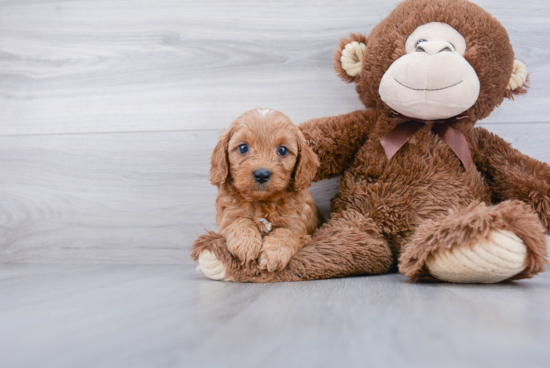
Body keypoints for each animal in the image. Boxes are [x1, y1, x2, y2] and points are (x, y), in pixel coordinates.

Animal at [210, 108, 324, 272]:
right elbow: (239, 221)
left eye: (282, 150)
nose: (262, 174)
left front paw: (273, 254)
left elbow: (286, 233)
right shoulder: (227, 216)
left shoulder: (298, 226)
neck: (263, 202)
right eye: (243, 147)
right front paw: (246, 244)